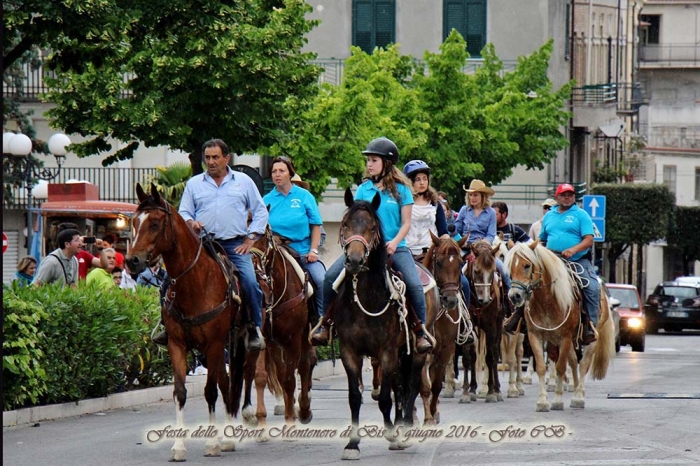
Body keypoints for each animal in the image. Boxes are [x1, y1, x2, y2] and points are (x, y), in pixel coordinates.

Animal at [126, 182, 258, 458]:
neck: (195, 283)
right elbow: (180, 392)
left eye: (155, 223)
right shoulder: (177, 344)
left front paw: (212, 444)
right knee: (227, 383)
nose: (132, 260)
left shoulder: (215, 343)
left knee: (232, 382)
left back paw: (227, 437)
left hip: (236, 342)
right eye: (134, 222)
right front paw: (178, 447)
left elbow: (210, 391)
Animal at [243, 228, 314, 434]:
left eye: (262, 238)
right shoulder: (265, 339)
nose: (251, 265)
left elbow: (290, 379)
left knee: (305, 364)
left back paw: (304, 409)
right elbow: (265, 376)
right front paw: (263, 419)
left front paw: (291, 420)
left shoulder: (293, 339)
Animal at [332, 188, 432, 458]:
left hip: (416, 353)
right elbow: (355, 397)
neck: (365, 296)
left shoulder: (386, 351)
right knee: (400, 386)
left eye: (373, 227)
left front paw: (394, 435)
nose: (355, 261)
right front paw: (352, 444)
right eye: (345, 224)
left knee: (411, 386)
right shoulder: (349, 351)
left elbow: (387, 397)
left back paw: (404, 428)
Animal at [506, 242, 616, 410]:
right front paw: (542, 401)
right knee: (573, 361)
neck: (547, 301)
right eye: (511, 266)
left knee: (583, 363)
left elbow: (560, 367)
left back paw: (578, 396)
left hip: (590, 338)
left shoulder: (564, 337)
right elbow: (541, 367)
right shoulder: (535, 335)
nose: (514, 296)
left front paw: (557, 400)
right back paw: (575, 388)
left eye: (527, 265)